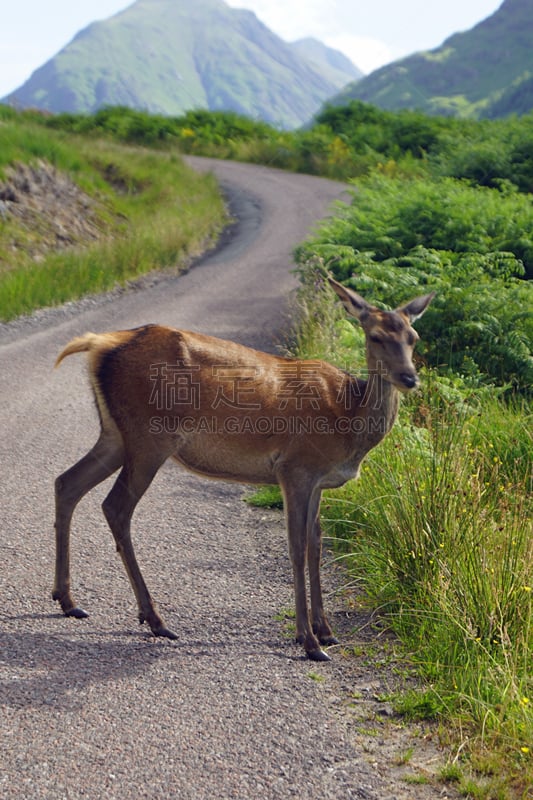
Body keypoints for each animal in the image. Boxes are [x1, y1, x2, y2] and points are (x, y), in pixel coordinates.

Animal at [52, 278, 432, 660]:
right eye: (376, 336)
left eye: (413, 337)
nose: (409, 378)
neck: (349, 419)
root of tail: (100, 343)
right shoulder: (295, 467)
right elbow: (296, 547)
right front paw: (308, 640)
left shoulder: (318, 481)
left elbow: (316, 545)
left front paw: (326, 632)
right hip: (149, 437)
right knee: (114, 506)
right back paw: (154, 619)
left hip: (115, 435)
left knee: (67, 482)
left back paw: (68, 600)